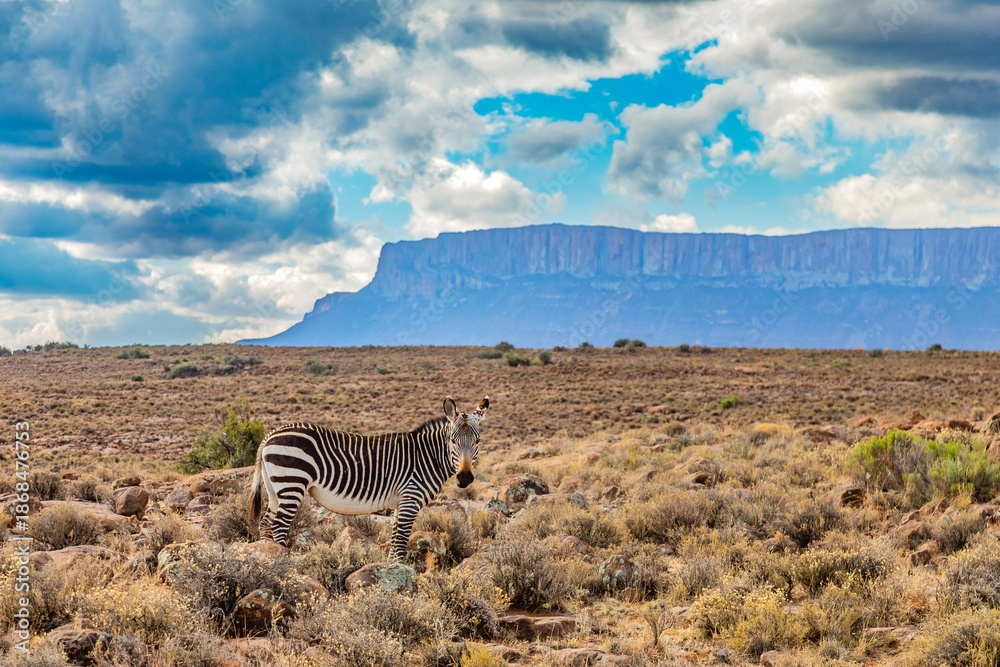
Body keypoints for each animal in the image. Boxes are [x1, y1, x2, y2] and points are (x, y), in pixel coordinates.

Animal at [249, 395, 489, 560]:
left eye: (477, 442)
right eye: (453, 441)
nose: (464, 478)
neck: (428, 456)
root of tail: (270, 435)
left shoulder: (400, 501)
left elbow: (394, 538)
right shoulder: (410, 498)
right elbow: (400, 541)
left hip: (275, 488)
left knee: (265, 524)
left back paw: (268, 559)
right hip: (292, 483)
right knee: (279, 526)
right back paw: (284, 562)